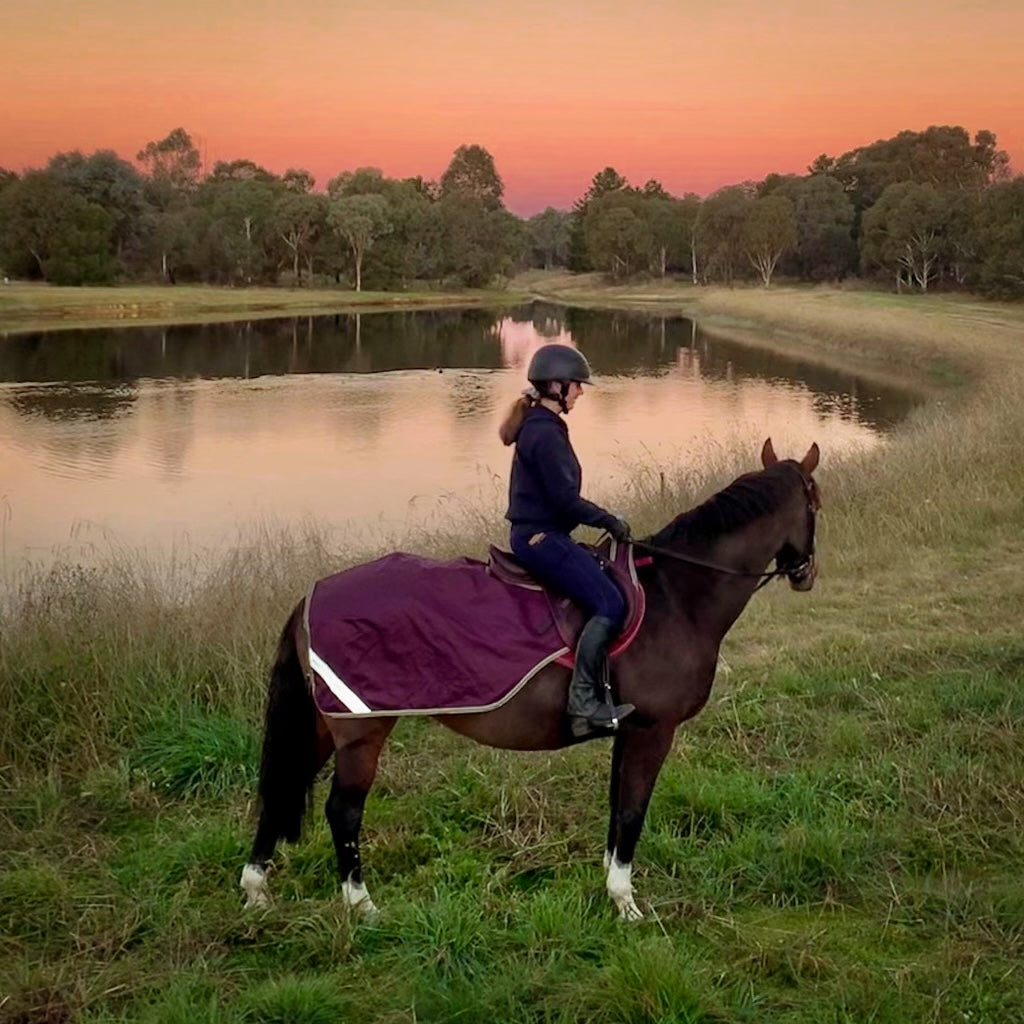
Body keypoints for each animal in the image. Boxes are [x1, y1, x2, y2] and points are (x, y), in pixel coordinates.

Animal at [241, 438, 823, 921]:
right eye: (816, 502)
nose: (807, 575)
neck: (676, 594)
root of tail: (312, 595)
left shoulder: (627, 731)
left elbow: (616, 810)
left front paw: (609, 888)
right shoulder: (653, 731)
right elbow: (633, 811)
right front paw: (627, 905)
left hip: (327, 725)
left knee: (282, 788)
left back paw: (255, 891)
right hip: (363, 730)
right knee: (344, 811)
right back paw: (362, 906)